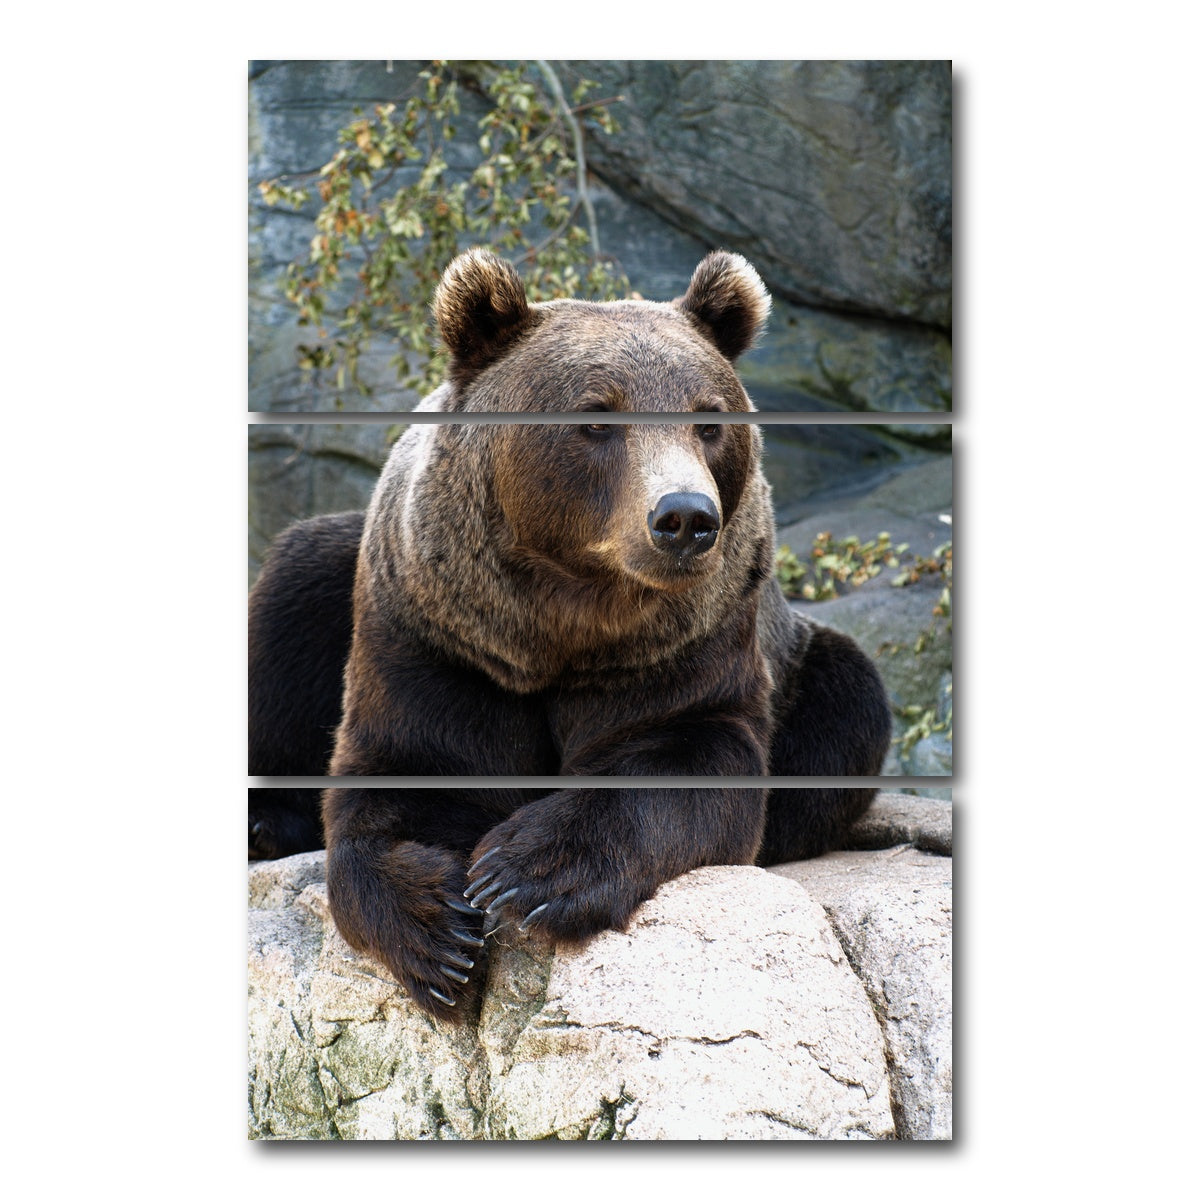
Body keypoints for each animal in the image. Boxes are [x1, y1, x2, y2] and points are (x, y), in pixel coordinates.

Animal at [248, 248, 892, 1020]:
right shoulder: (437, 636)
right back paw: (265, 822)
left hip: (803, 666)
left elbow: (688, 758)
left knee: (848, 703)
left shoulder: (684, 644)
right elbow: (403, 773)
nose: (685, 517)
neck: (561, 623)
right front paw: (437, 933)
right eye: (596, 418)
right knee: (293, 592)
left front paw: (526, 872)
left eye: (708, 420)